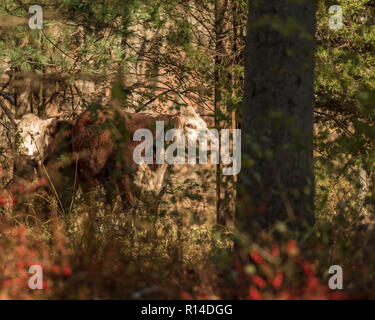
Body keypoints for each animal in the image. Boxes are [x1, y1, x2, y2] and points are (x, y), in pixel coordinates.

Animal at [72, 106, 217, 214]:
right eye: (189, 125)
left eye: (204, 125)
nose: (210, 140)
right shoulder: (124, 180)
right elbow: (129, 210)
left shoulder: (159, 187)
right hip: (85, 177)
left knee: (108, 205)